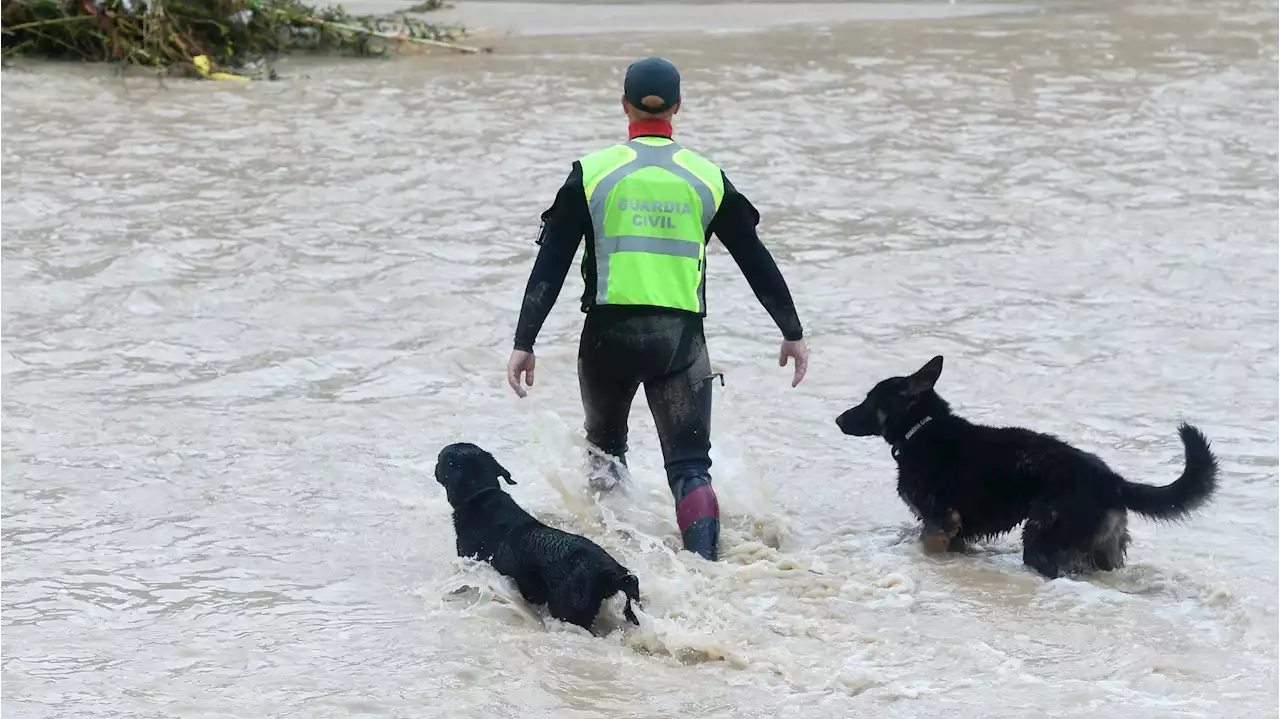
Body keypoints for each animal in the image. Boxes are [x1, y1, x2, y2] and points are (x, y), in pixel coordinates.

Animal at [437, 440, 640, 629]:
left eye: (443, 459)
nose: (437, 463)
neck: (479, 495)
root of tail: (612, 572)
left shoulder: (468, 559)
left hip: (569, 610)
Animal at [829, 355, 1218, 578]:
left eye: (869, 401)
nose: (837, 419)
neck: (921, 429)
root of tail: (1111, 479)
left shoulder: (940, 524)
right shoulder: (953, 532)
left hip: (1042, 542)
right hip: (1101, 551)